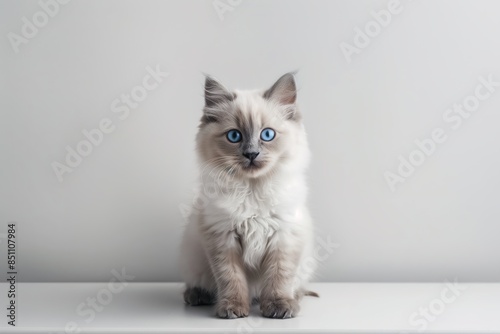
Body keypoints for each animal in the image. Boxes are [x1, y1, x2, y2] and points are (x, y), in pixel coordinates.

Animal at [178, 72, 314, 318]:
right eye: (234, 136)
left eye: (267, 134)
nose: (251, 154)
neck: (252, 189)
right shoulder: (222, 238)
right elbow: (231, 279)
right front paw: (232, 309)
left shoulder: (284, 237)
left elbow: (279, 279)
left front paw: (279, 307)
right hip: (193, 260)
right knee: (198, 284)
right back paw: (197, 296)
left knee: (296, 285)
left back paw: (294, 299)